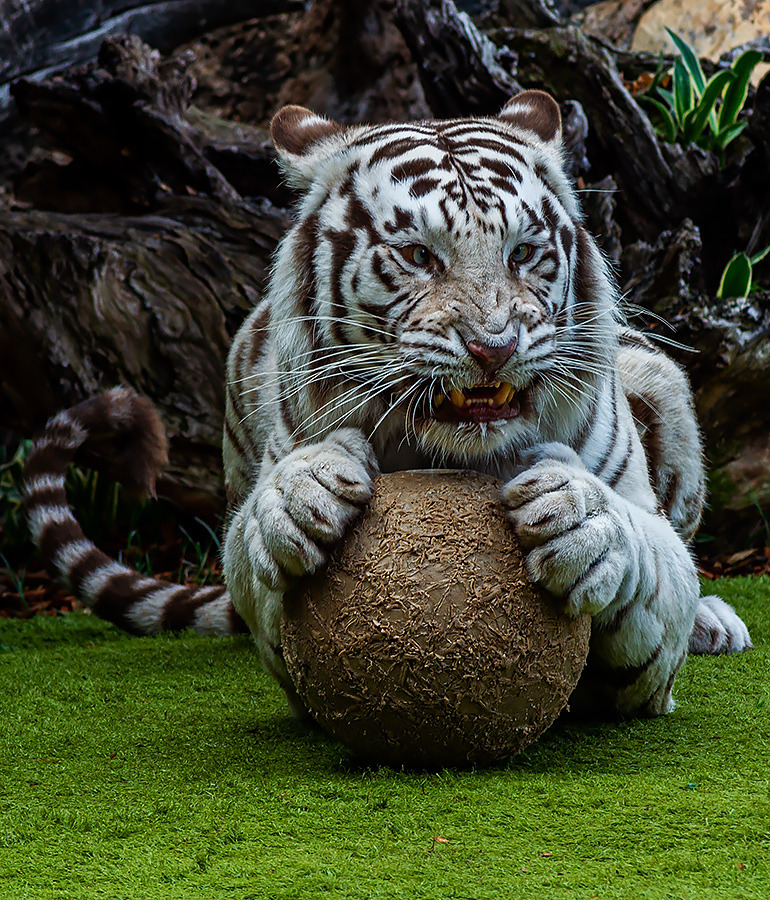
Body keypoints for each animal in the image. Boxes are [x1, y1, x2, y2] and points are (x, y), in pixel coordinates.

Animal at [23, 90, 751, 722]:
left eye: (523, 252)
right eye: (419, 256)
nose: (494, 347)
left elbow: (653, 558)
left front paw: (585, 525)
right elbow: (257, 545)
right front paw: (297, 499)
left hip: (660, 378)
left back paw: (714, 623)